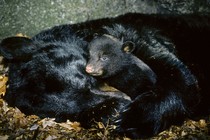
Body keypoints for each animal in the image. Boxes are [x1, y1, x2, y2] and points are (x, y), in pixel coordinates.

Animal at [0, 13, 210, 139]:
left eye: (89, 81)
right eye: (75, 113)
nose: (123, 104)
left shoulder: (137, 38)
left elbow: (181, 80)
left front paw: (130, 118)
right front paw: (114, 114)